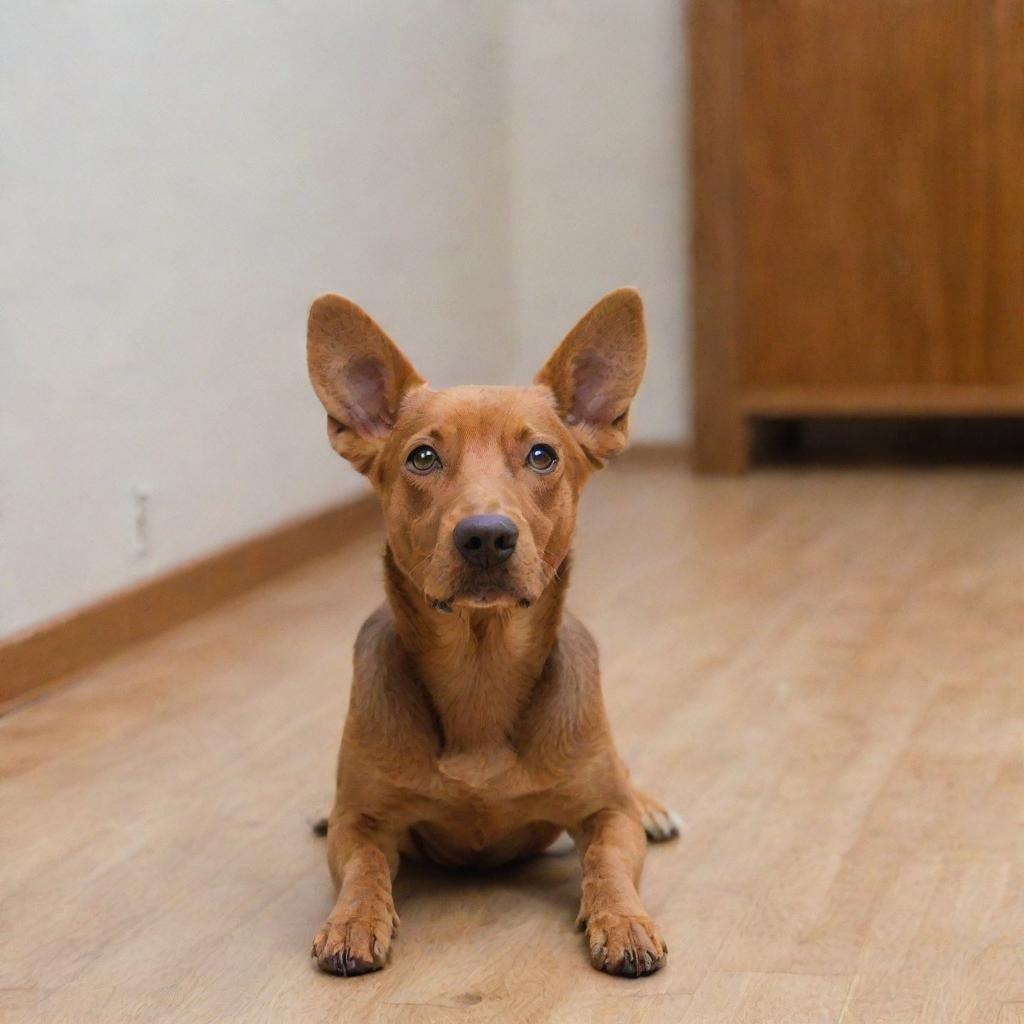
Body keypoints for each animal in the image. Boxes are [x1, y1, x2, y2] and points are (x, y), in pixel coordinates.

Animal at [307, 286, 684, 974]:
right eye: (422, 457)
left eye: (542, 455)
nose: (485, 535)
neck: (480, 670)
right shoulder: (362, 821)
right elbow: (365, 865)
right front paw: (353, 919)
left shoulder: (604, 814)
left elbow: (607, 860)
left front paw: (622, 920)